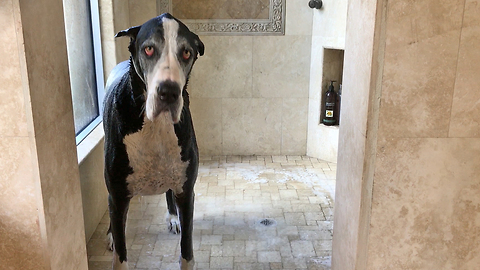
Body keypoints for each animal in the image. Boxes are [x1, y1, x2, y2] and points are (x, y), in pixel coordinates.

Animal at [102, 13, 202, 270]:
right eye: (148, 49)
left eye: (186, 53)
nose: (169, 91)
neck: (155, 125)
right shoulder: (118, 194)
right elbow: (121, 256)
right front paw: (115, 238)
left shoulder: (186, 191)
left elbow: (187, 252)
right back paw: (110, 234)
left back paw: (173, 218)